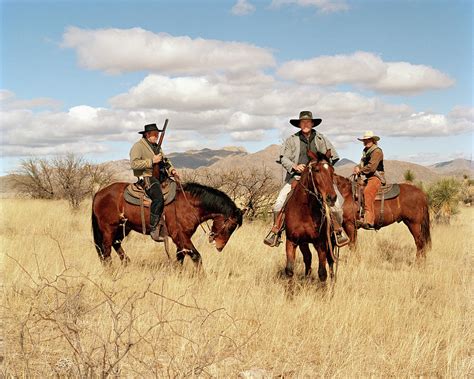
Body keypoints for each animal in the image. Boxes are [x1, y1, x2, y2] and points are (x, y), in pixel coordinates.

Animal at [91, 180, 244, 268]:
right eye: (230, 227)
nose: (220, 247)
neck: (188, 205)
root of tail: (99, 193)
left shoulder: (182, 239)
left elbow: (180, 257)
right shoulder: (180, 236)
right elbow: (197, 257)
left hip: (123, 227)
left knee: (116, 244)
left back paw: (126, 263)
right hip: (108, 228)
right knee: (106, 250)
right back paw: (110, 271)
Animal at [284, 149, 338, 282]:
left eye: (332, 171)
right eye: (317, 170)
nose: (332, 198)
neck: (304, 211)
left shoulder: (321, 243)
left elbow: (322, 273)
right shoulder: (291, 241)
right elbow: (289, 270)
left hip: (331, 242)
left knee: (330, 261)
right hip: (303, 243)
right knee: (308, 258)